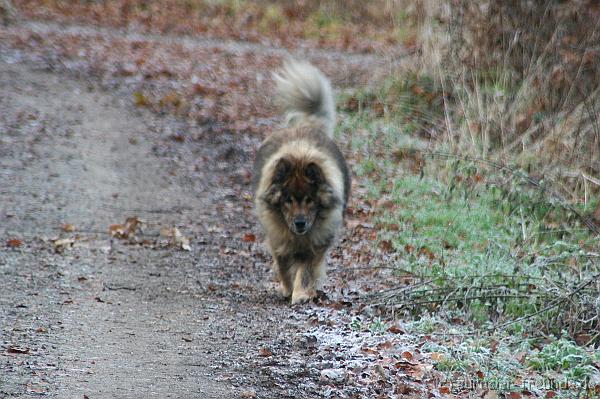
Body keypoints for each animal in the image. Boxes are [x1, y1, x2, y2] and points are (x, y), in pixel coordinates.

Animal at [253, 59, 352, 304]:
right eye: (287, 200)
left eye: (309, 199)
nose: (300, 223)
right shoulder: (279, 241)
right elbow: (283, 267)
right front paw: (288, 289)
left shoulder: (316, 244)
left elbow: (306, 271)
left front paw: (300, 294)